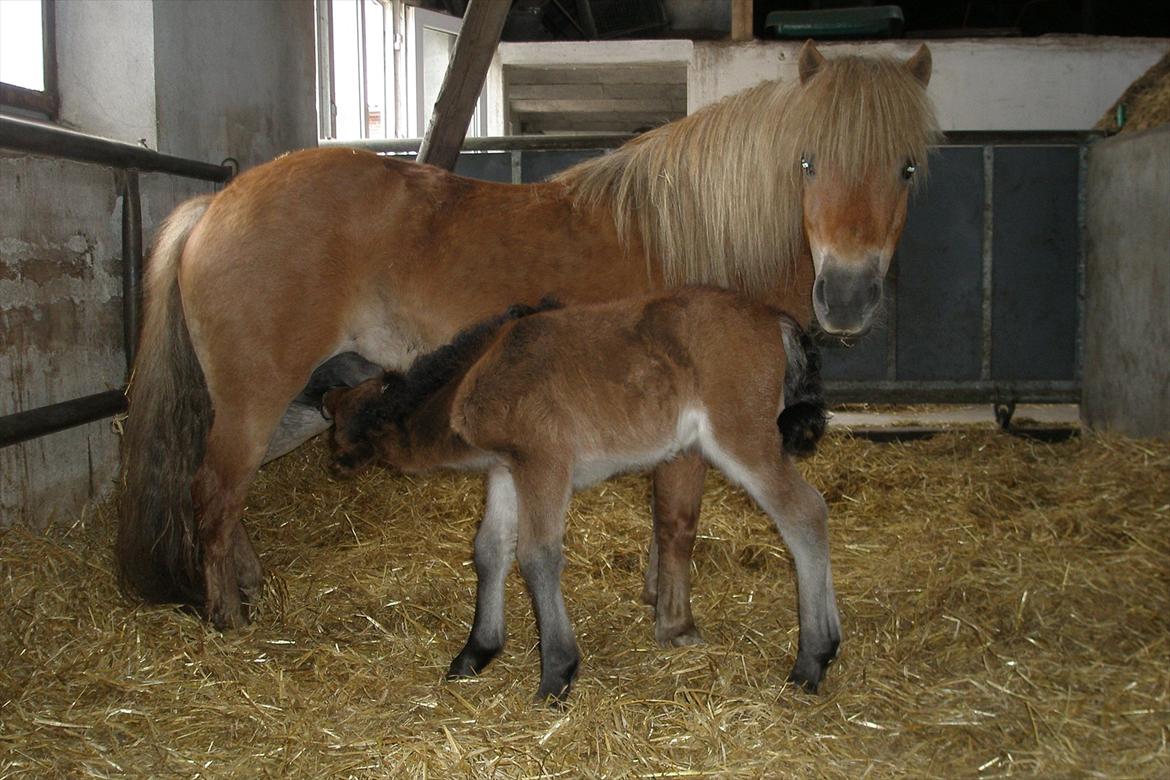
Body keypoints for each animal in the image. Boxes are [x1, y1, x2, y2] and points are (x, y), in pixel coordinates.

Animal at [116, 39, 940, 631]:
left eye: (907, 169)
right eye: (808, 162)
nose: (847, 296)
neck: (699, 238)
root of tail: (219, 202)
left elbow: (664, 526)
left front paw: (656, 598)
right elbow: (678, 521)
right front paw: (675, 624)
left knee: (226, 497)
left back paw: (246, 588)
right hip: (255, 398)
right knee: (213, 495)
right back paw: (227, 618)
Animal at [320, 290, 833, 706]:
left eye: (340, 429)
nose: (334, 464)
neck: (473, 381)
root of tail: (774, 317)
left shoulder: (545, 462)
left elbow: (537, 555)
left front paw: (556, 675)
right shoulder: (507, 469)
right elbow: (489, 549)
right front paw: (475, 653)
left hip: (743, 439)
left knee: (805, 514)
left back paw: (812, 661)